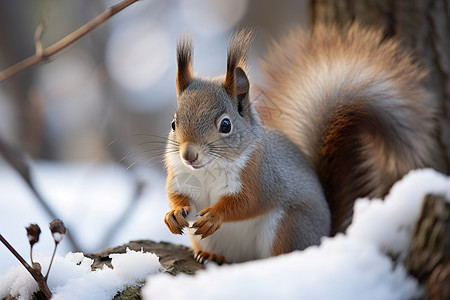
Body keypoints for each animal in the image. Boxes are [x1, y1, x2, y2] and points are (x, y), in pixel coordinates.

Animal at [163, 24, 442, 264]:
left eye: (225, 125)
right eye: (174, 123)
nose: (189, 155)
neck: (209, 169)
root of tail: (325, 237)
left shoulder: (260, 177)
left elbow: (248, 202)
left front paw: (215, 215)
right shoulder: (179, 176)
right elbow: (177, 196)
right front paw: (174, 214)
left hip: (288, 225)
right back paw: (209, 256)